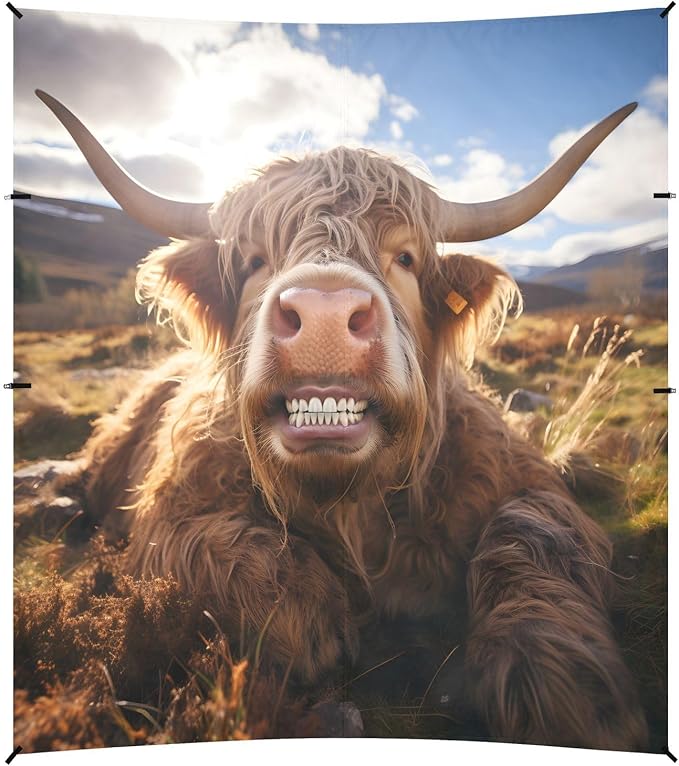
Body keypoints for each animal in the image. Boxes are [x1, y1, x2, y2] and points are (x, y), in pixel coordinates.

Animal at [36, 89, 647, 749]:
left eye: (404, 256)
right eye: (254, 259)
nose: (324, 315)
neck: (353, 507)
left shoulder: (523, 479)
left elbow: (535, 526)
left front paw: (558, 679)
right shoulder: (170, 512)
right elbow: (220, 545)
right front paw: (313, 622)